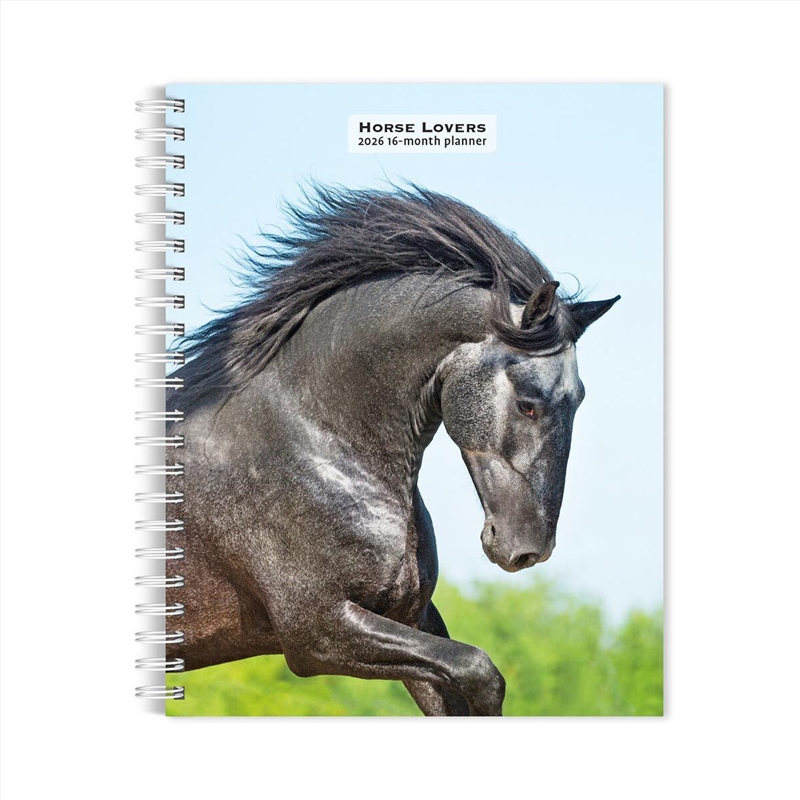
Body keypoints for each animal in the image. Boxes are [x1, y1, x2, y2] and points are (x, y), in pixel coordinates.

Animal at [165, 185, 619, 716]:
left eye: (579, 399)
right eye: (528, 403)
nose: (528, 550)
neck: (317, 441)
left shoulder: (409, 617)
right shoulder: (317, 632)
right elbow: (481, 673)